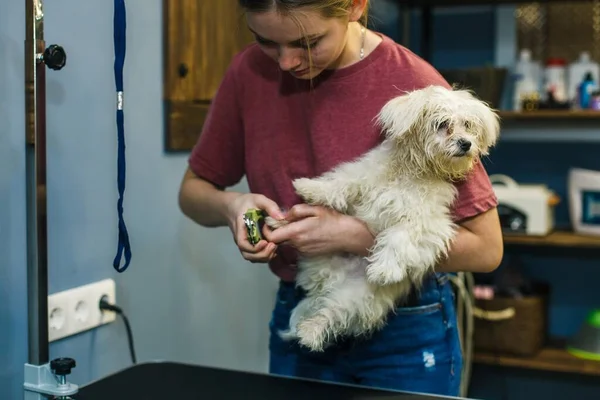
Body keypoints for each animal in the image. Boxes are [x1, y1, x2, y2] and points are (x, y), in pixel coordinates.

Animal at [264, 83, 500, 350]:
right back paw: (280, 221)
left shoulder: (426, 222)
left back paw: (310, 332)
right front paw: (311, 188)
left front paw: (384, 269)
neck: (414, 171)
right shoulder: (362, 176)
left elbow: (398, 237)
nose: (466, 143)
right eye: (442, 124)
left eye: (468, 125)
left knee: (331, 313)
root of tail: (329, 282)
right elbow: (341, 184)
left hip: (353, 296)